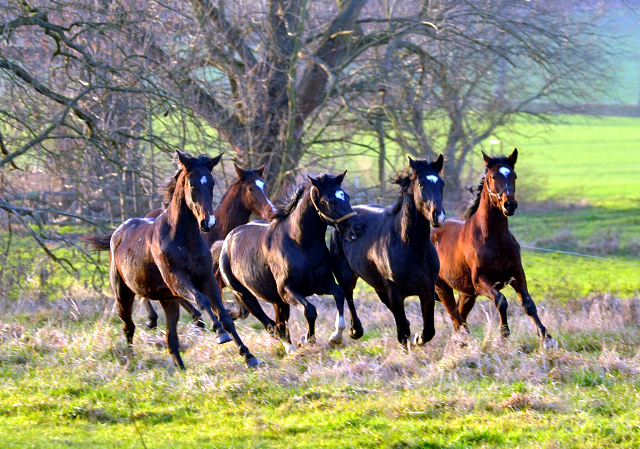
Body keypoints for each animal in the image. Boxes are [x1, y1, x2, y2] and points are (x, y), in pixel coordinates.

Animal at [84, 150, 258, 368]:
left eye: (211, 183)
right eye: (192, 185)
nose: (208, 223)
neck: (183, 238)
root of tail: (118, 233)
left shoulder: (206, 278)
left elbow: (223, 314)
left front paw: (248, 356)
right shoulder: (177, 279)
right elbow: (202, 300)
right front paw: (219, 333)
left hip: (168, 300)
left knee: (171, 338)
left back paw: (180, 367)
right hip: (123, 294)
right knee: (128, 326)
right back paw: (130, 358)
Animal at [141, 163, 274, 328]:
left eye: (264, 186)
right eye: (250, 188)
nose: (272, 211)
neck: (217, 232)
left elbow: (242, 310)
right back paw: (155, 318)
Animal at [215, 172, 364, 354]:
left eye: (346, 196)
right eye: (331, 202)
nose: (359, 227)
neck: (300, 244)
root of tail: (226, 242)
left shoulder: (322, 284)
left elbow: (339, 293)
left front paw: (336, 337)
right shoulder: (287, 290)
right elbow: (310, 310)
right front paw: (307, 340)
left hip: (276, 300)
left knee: (279, 321)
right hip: (245, 294)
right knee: (269, 323)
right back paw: (288, 346)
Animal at [330, 155, 444, 346]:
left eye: (441, 183)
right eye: (421, 184)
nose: (439, 216)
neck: (411, 249)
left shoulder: (427, 290)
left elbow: (428, 330)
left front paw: (418, 339)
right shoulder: (395, 292)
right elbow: (402, 332)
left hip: (378, 285)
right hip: (346, 275)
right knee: (348, 294)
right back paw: (354, 331)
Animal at [430, 149, 560, 348]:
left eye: (514, 175)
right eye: (492, 176)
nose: (509, 205)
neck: (495, 240)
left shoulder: (517, 275)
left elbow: (529, 304)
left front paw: (547, 338)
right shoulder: (481, 281)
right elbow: (501, 301)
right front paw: (503, 336)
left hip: (467, 294)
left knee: (459, 316)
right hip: (442, 288)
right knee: (456, 316)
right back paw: (465, 342)